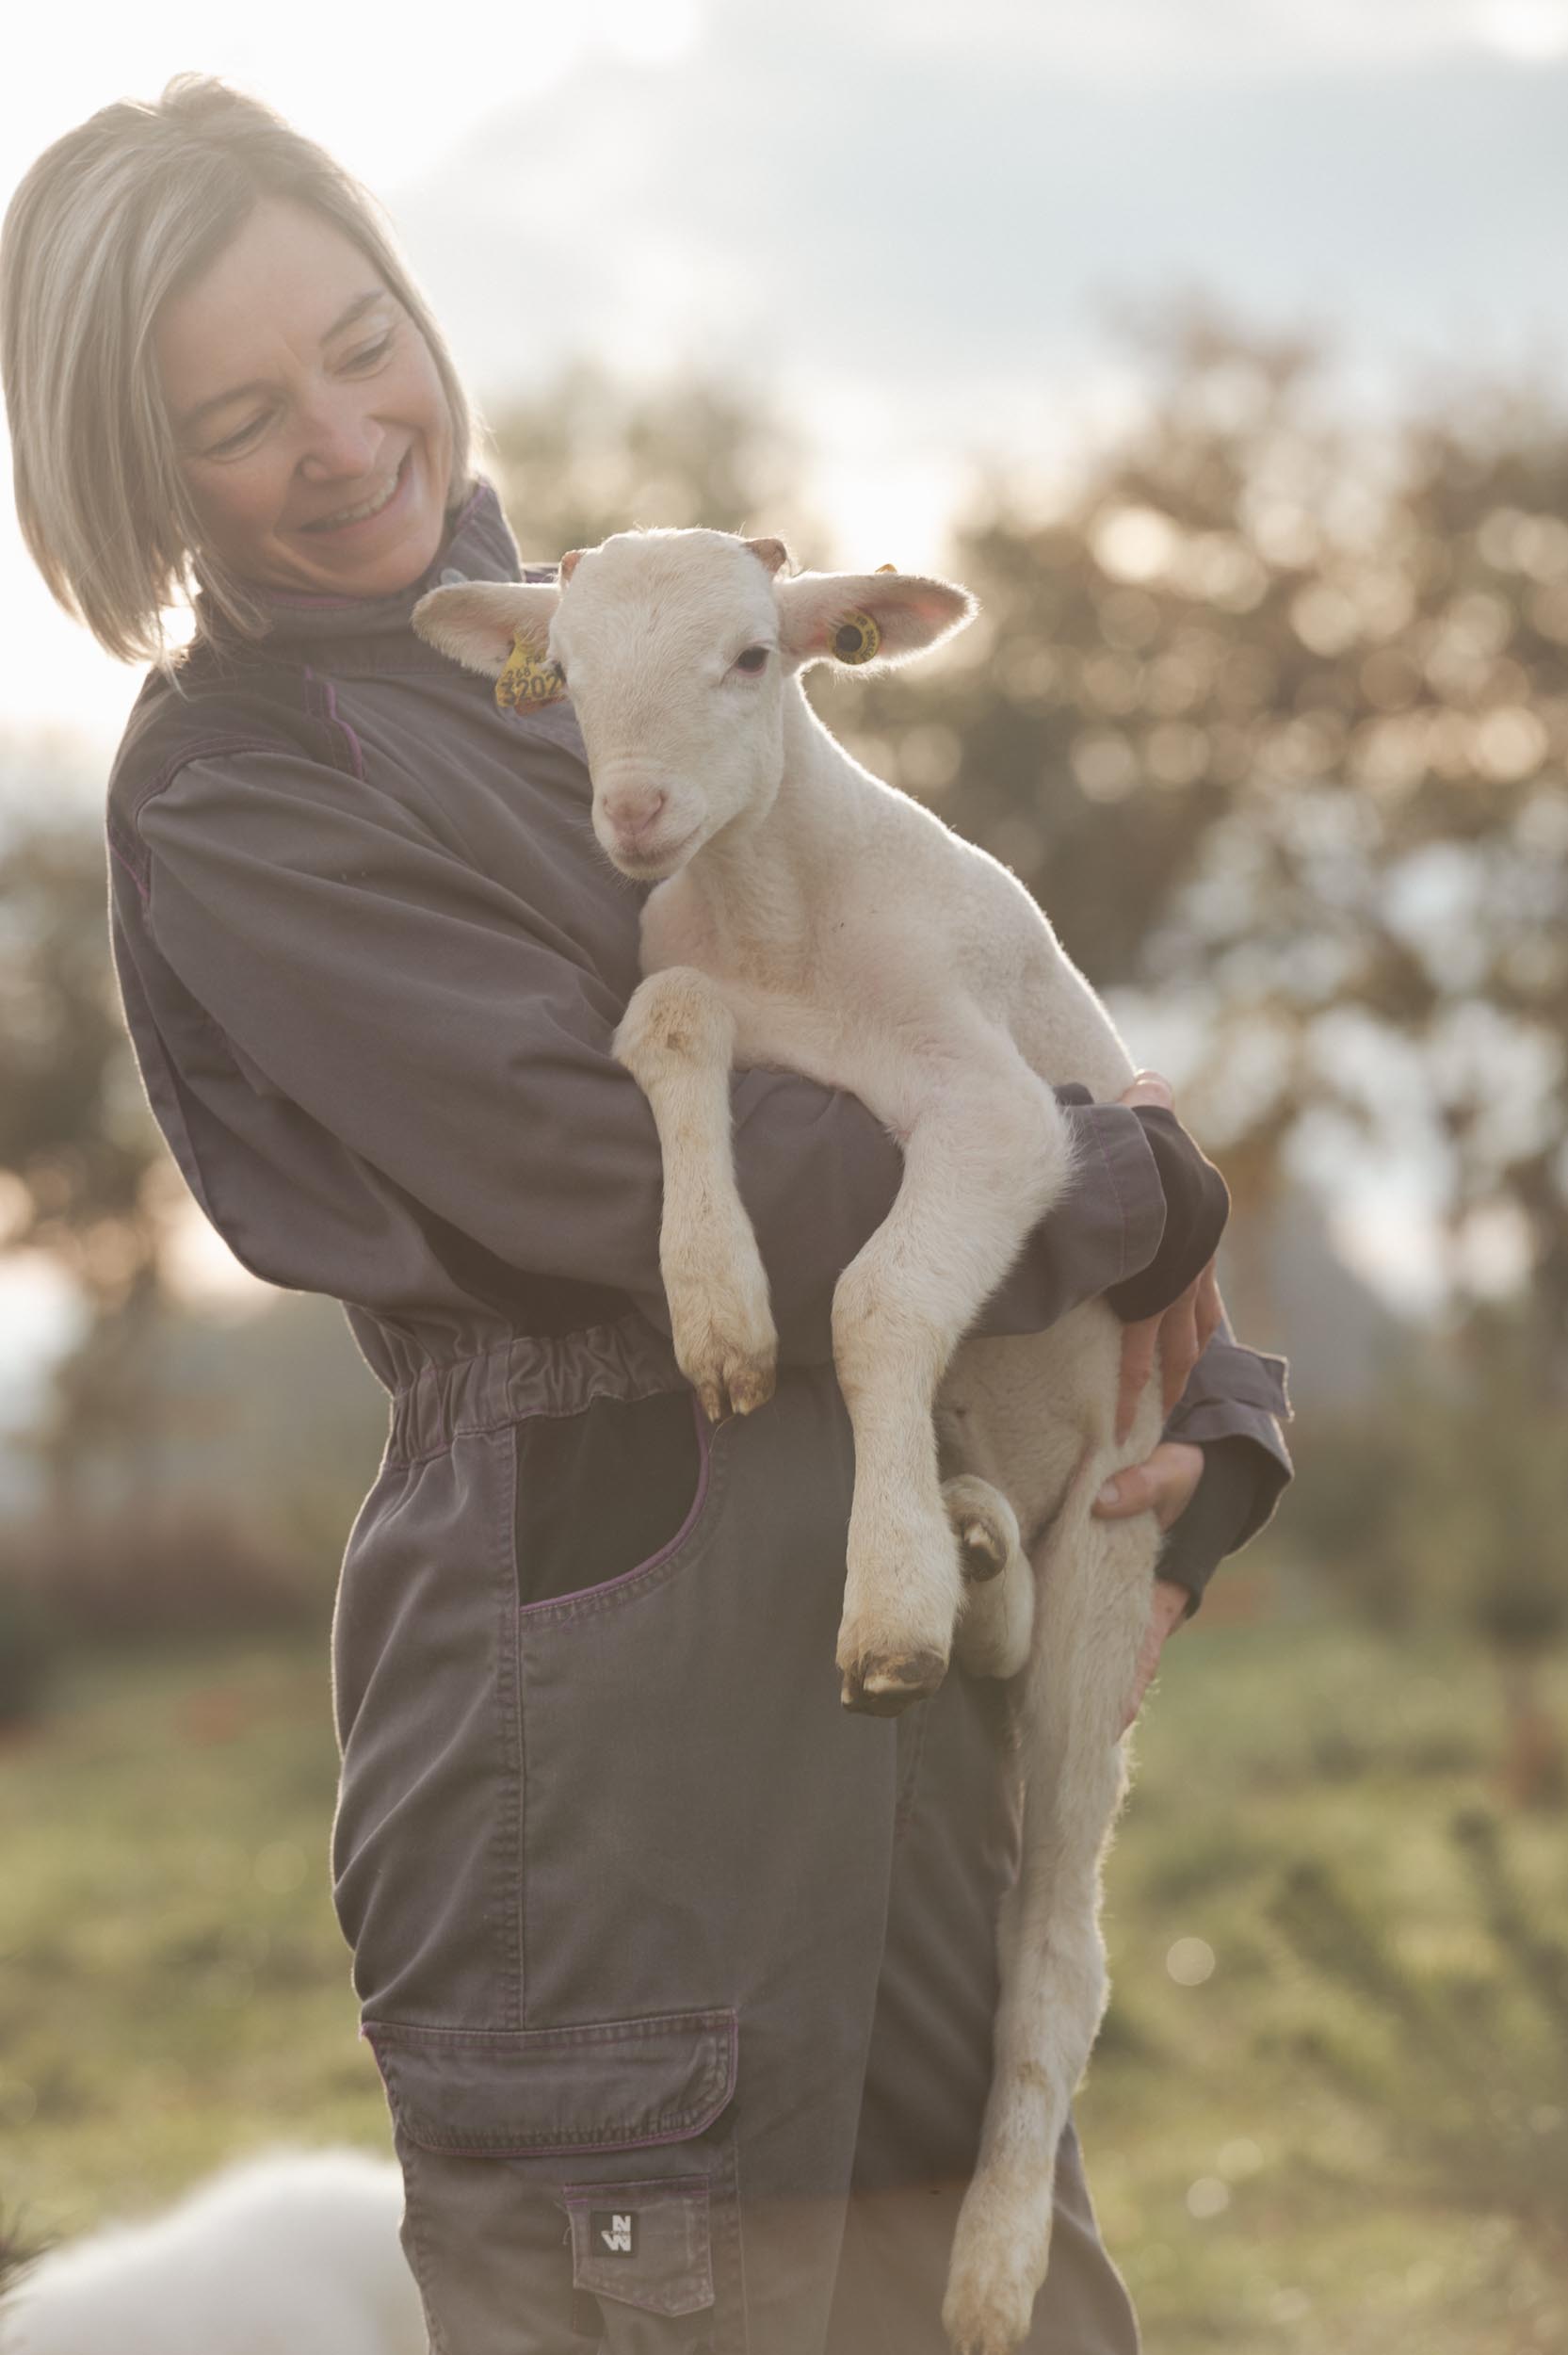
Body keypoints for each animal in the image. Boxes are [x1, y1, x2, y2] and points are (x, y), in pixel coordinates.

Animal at [414, 534, 1172, 2355]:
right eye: (563, 672)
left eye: (758, 655)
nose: (632, 814)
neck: (790, 923)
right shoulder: (693, 987)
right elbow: (669, 1027)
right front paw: (717, 1311)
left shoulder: (1001, 1115)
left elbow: (884, 1298)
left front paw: (882, 1605)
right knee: (1002, 1592)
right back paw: (970, 1546)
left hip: (1119, 1546)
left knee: (1059, 1948)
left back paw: (990, 2267)